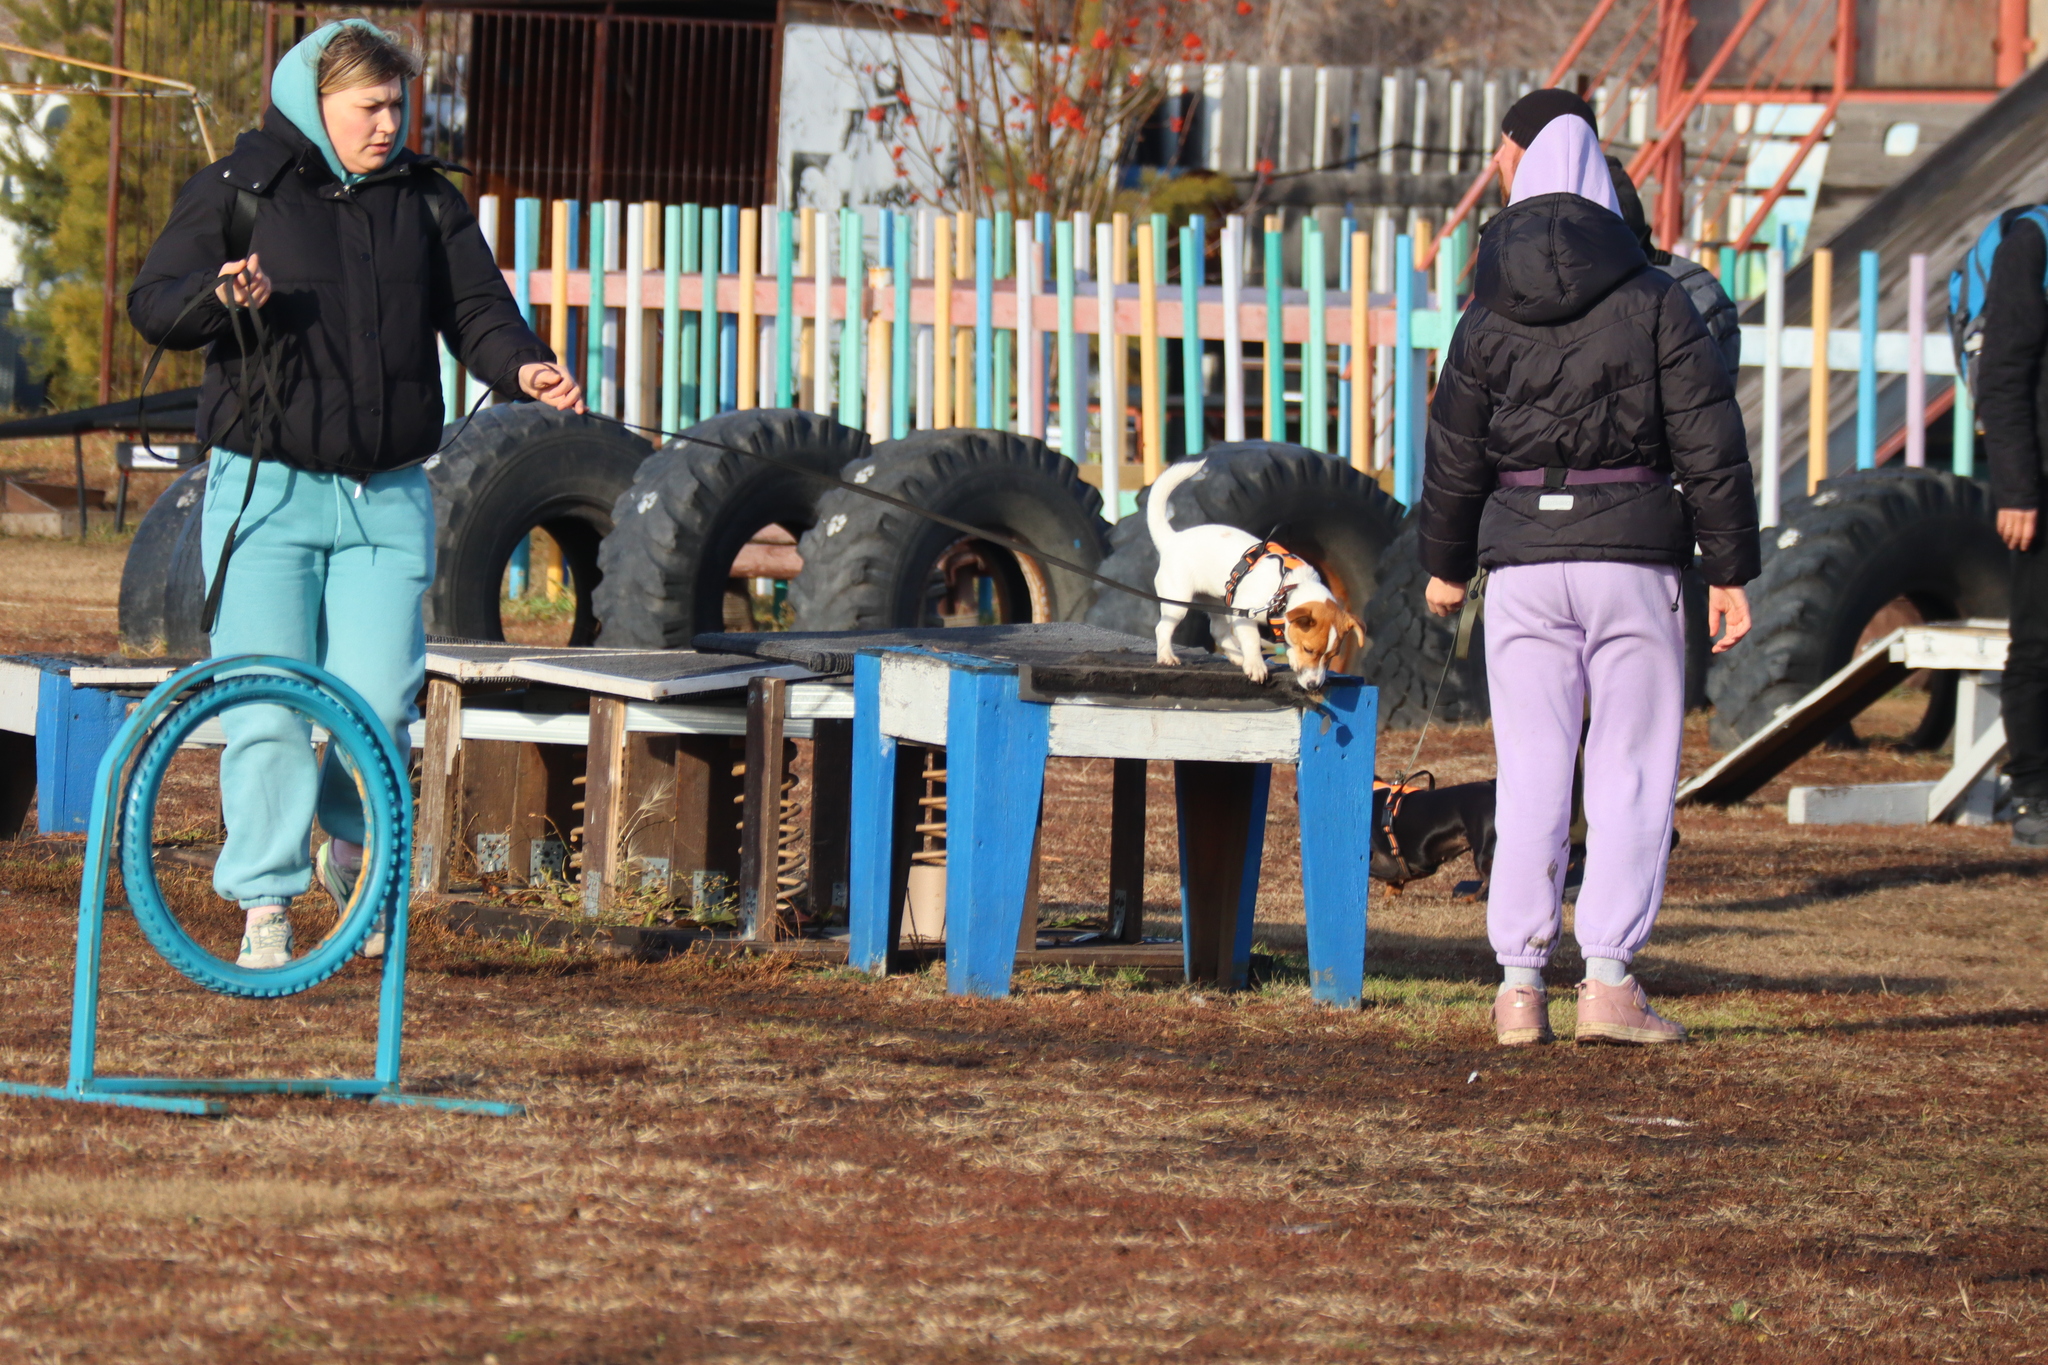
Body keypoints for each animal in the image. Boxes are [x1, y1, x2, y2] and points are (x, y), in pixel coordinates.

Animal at [1155, 458, 1359, 687]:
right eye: (1309, 649)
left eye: (1332, 656)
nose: (1314, 685)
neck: (1287, 589)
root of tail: (1172, 539)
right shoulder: (1245, 613)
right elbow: (1252, 641)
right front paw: (1256, 666)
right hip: (1177, 602)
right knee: (1163, 628)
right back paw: (1166, 656)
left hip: (1217, 604)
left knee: (1218, 631)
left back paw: (1237, 657)